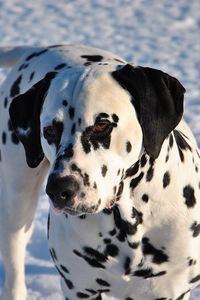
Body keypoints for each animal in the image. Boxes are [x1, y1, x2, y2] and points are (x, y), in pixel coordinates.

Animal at [0, 44, 199, 300]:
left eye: (102, 125)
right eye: (49, 131)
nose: (59, 190)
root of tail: (42, 48)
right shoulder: (78, 288)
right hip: (17, 200)